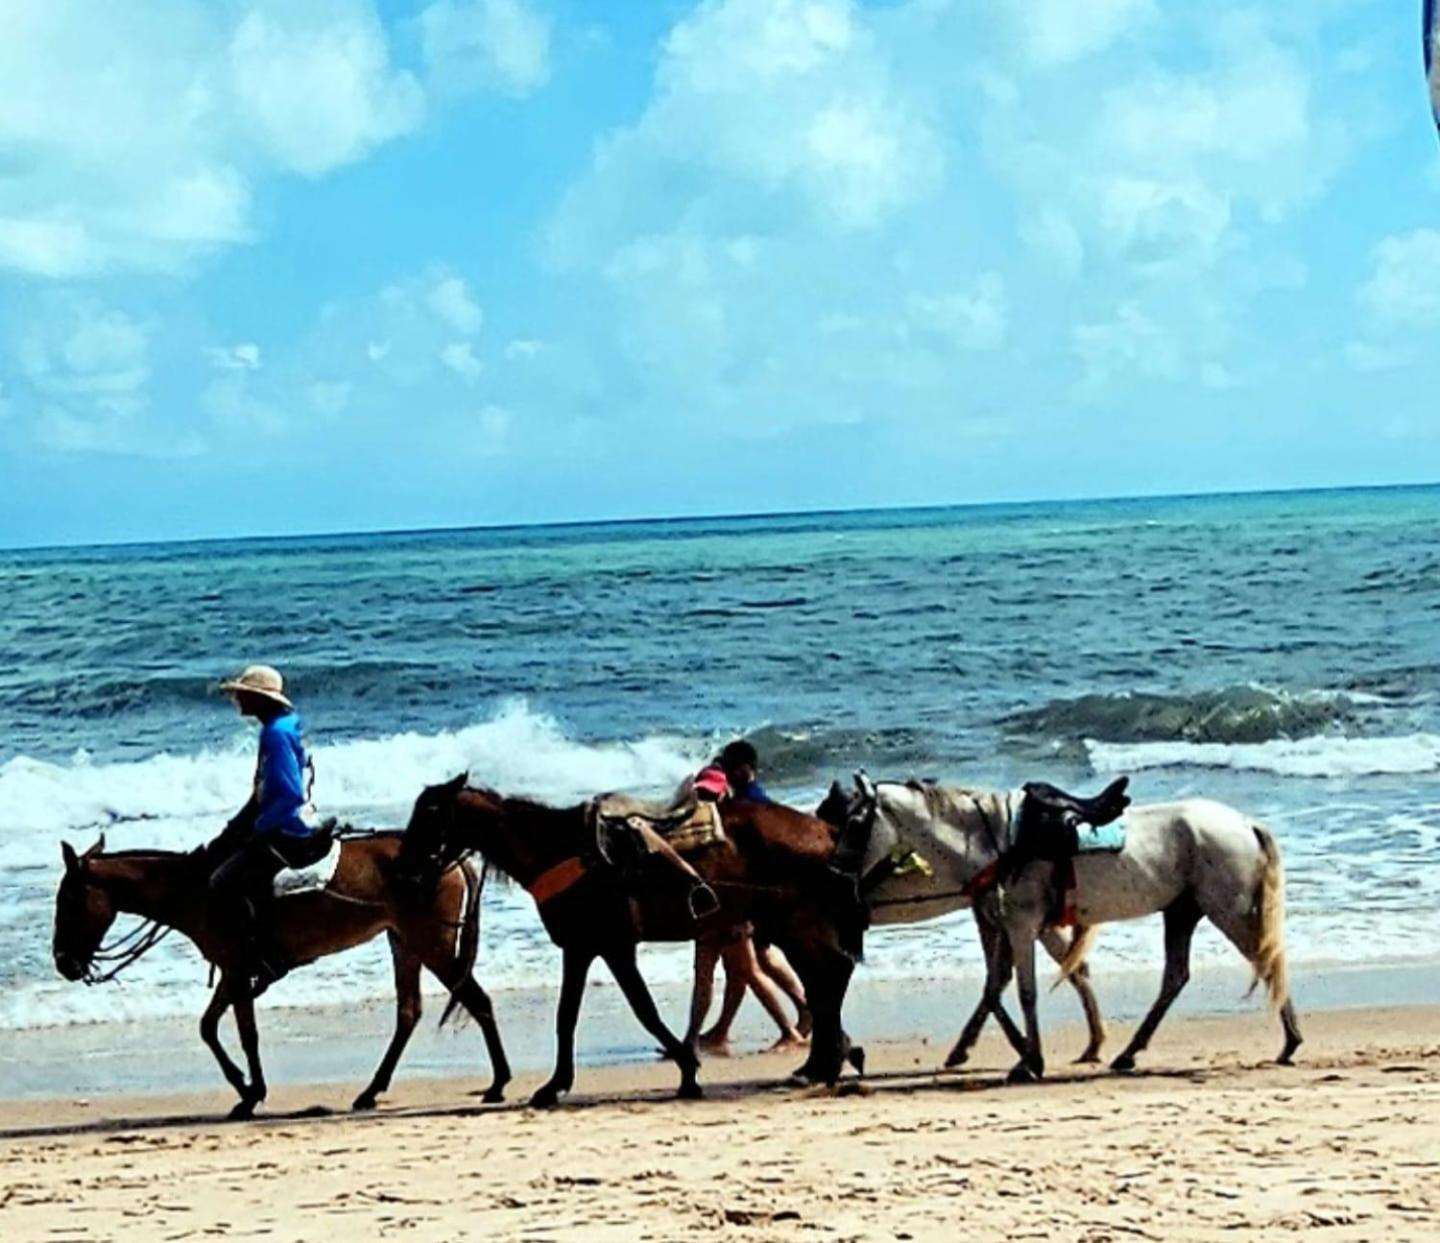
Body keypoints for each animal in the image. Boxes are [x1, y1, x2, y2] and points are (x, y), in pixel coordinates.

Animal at [52, 834, 511, 1119]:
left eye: (69, 899)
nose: (62, 962)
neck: (195, 889)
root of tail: (451, 859)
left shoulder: (238, 971)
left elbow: (244, 1034)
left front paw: (250, 1093)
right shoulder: (234, 972)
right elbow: (208, 1027)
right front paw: (244, 1087)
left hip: (431, 944)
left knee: (477, 1001)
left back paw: (498, 1083)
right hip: (405, 944)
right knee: (409, 1013)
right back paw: (371, 1091)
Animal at [401, 775, 866, 1107]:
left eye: (429, 815)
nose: (406, 873)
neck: (559, 850)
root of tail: (824, 830)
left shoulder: (606, 947)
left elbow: (637, 1011)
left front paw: (687, 1071)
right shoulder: (588, 948)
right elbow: (574, 1015)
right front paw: (557, 1084)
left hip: (794, 923)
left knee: (829, 976)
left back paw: (829, 1059)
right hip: (787, 925)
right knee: (825, 979)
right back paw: (827, 1059)